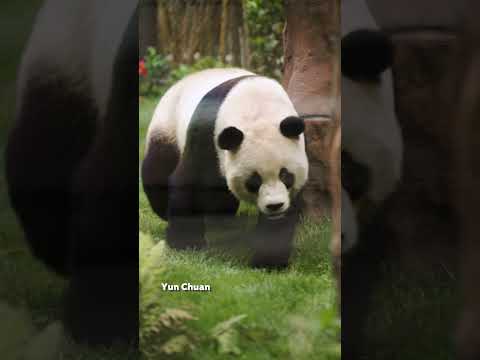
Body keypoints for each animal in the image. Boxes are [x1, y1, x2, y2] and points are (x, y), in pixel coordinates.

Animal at [142, 69, 308, 268]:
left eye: (286, 176)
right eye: (254, 182)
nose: (275, 205)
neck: (257, 105)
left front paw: (269, 263)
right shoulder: (206, 133)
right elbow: (188, 182)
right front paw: (185, 245)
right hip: (167, 126)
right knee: (157, 171)